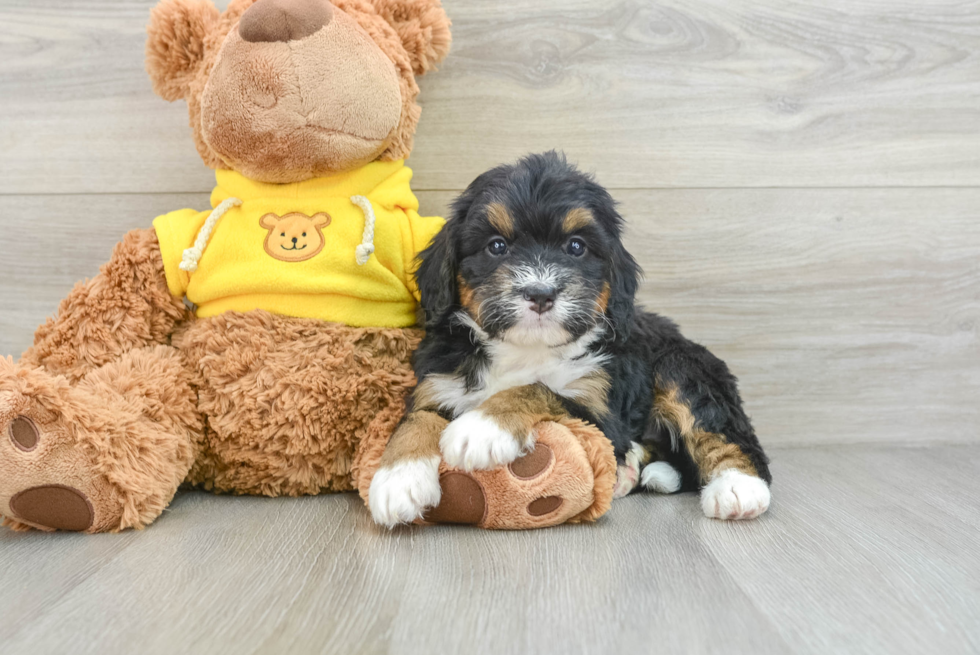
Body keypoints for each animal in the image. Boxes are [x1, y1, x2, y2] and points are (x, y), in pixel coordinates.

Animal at [370, 152, 772, 528]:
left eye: (576, 247)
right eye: (496, 246)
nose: (540, 293)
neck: (524, 349)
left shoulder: (601, 411)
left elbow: (536, 388)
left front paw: (481, 428)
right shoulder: (437, 381)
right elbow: (416, 420)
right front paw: (397, 479)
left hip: (682, 367)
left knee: (723, 432)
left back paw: (739, 488)